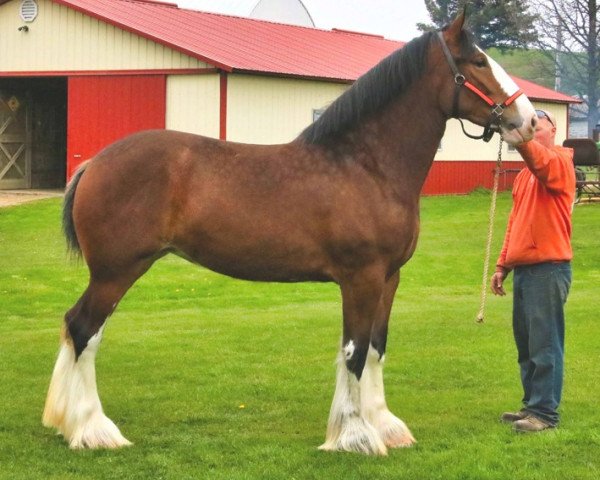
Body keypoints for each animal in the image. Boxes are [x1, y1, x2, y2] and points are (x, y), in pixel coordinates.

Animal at [44, 10, 536, 454]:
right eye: (477, 62)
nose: (531, 122)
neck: (367, 164)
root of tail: (94, 163)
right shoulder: (360, 278)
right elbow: (355, 351)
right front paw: (355, 437)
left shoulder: (389, 278)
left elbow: (377, 348)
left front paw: (385, 426)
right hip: (116, 272)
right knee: (84, 330)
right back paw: (93, 431)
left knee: (76, 328)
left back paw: (67, 424)